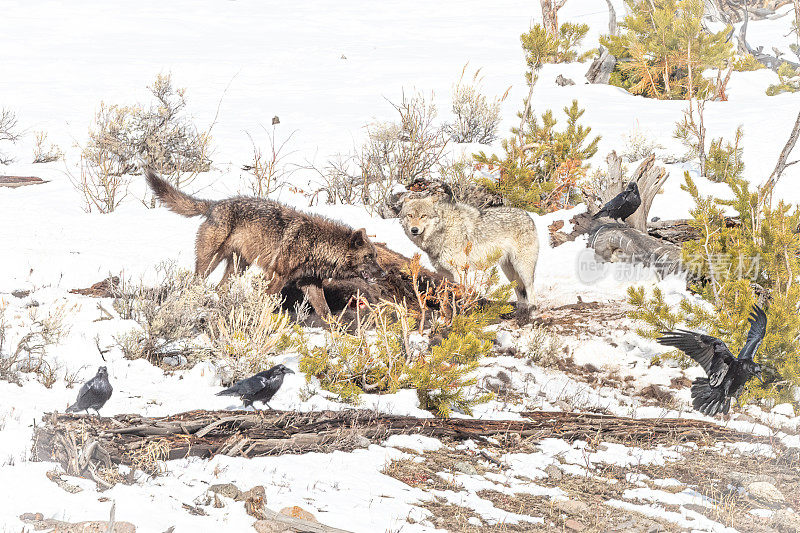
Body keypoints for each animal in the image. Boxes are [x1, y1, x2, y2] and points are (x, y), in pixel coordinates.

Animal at [145, 169, 386, 316]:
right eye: (368, 257)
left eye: (376, 256)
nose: (383, 273)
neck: (316, 244)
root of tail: (214, 204)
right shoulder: (275, 277)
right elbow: (266, 303)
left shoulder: (309, 284)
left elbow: (326, 313)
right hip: (209, 263)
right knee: (194, 284)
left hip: (238, 267)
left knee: (219, 288)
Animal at [398, 191, 536, 310]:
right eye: (410, 215)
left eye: (423, 216)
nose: (414, 229)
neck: (443, 230)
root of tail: (528, 215)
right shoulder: (445, 273)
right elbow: (447, 293)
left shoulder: (459, 270)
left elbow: (460, 294)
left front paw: (461, 312)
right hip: (509, 271)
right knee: (518, 289)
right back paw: (521, 307)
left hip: (522, 267)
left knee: (530, 288)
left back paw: (532, 307)